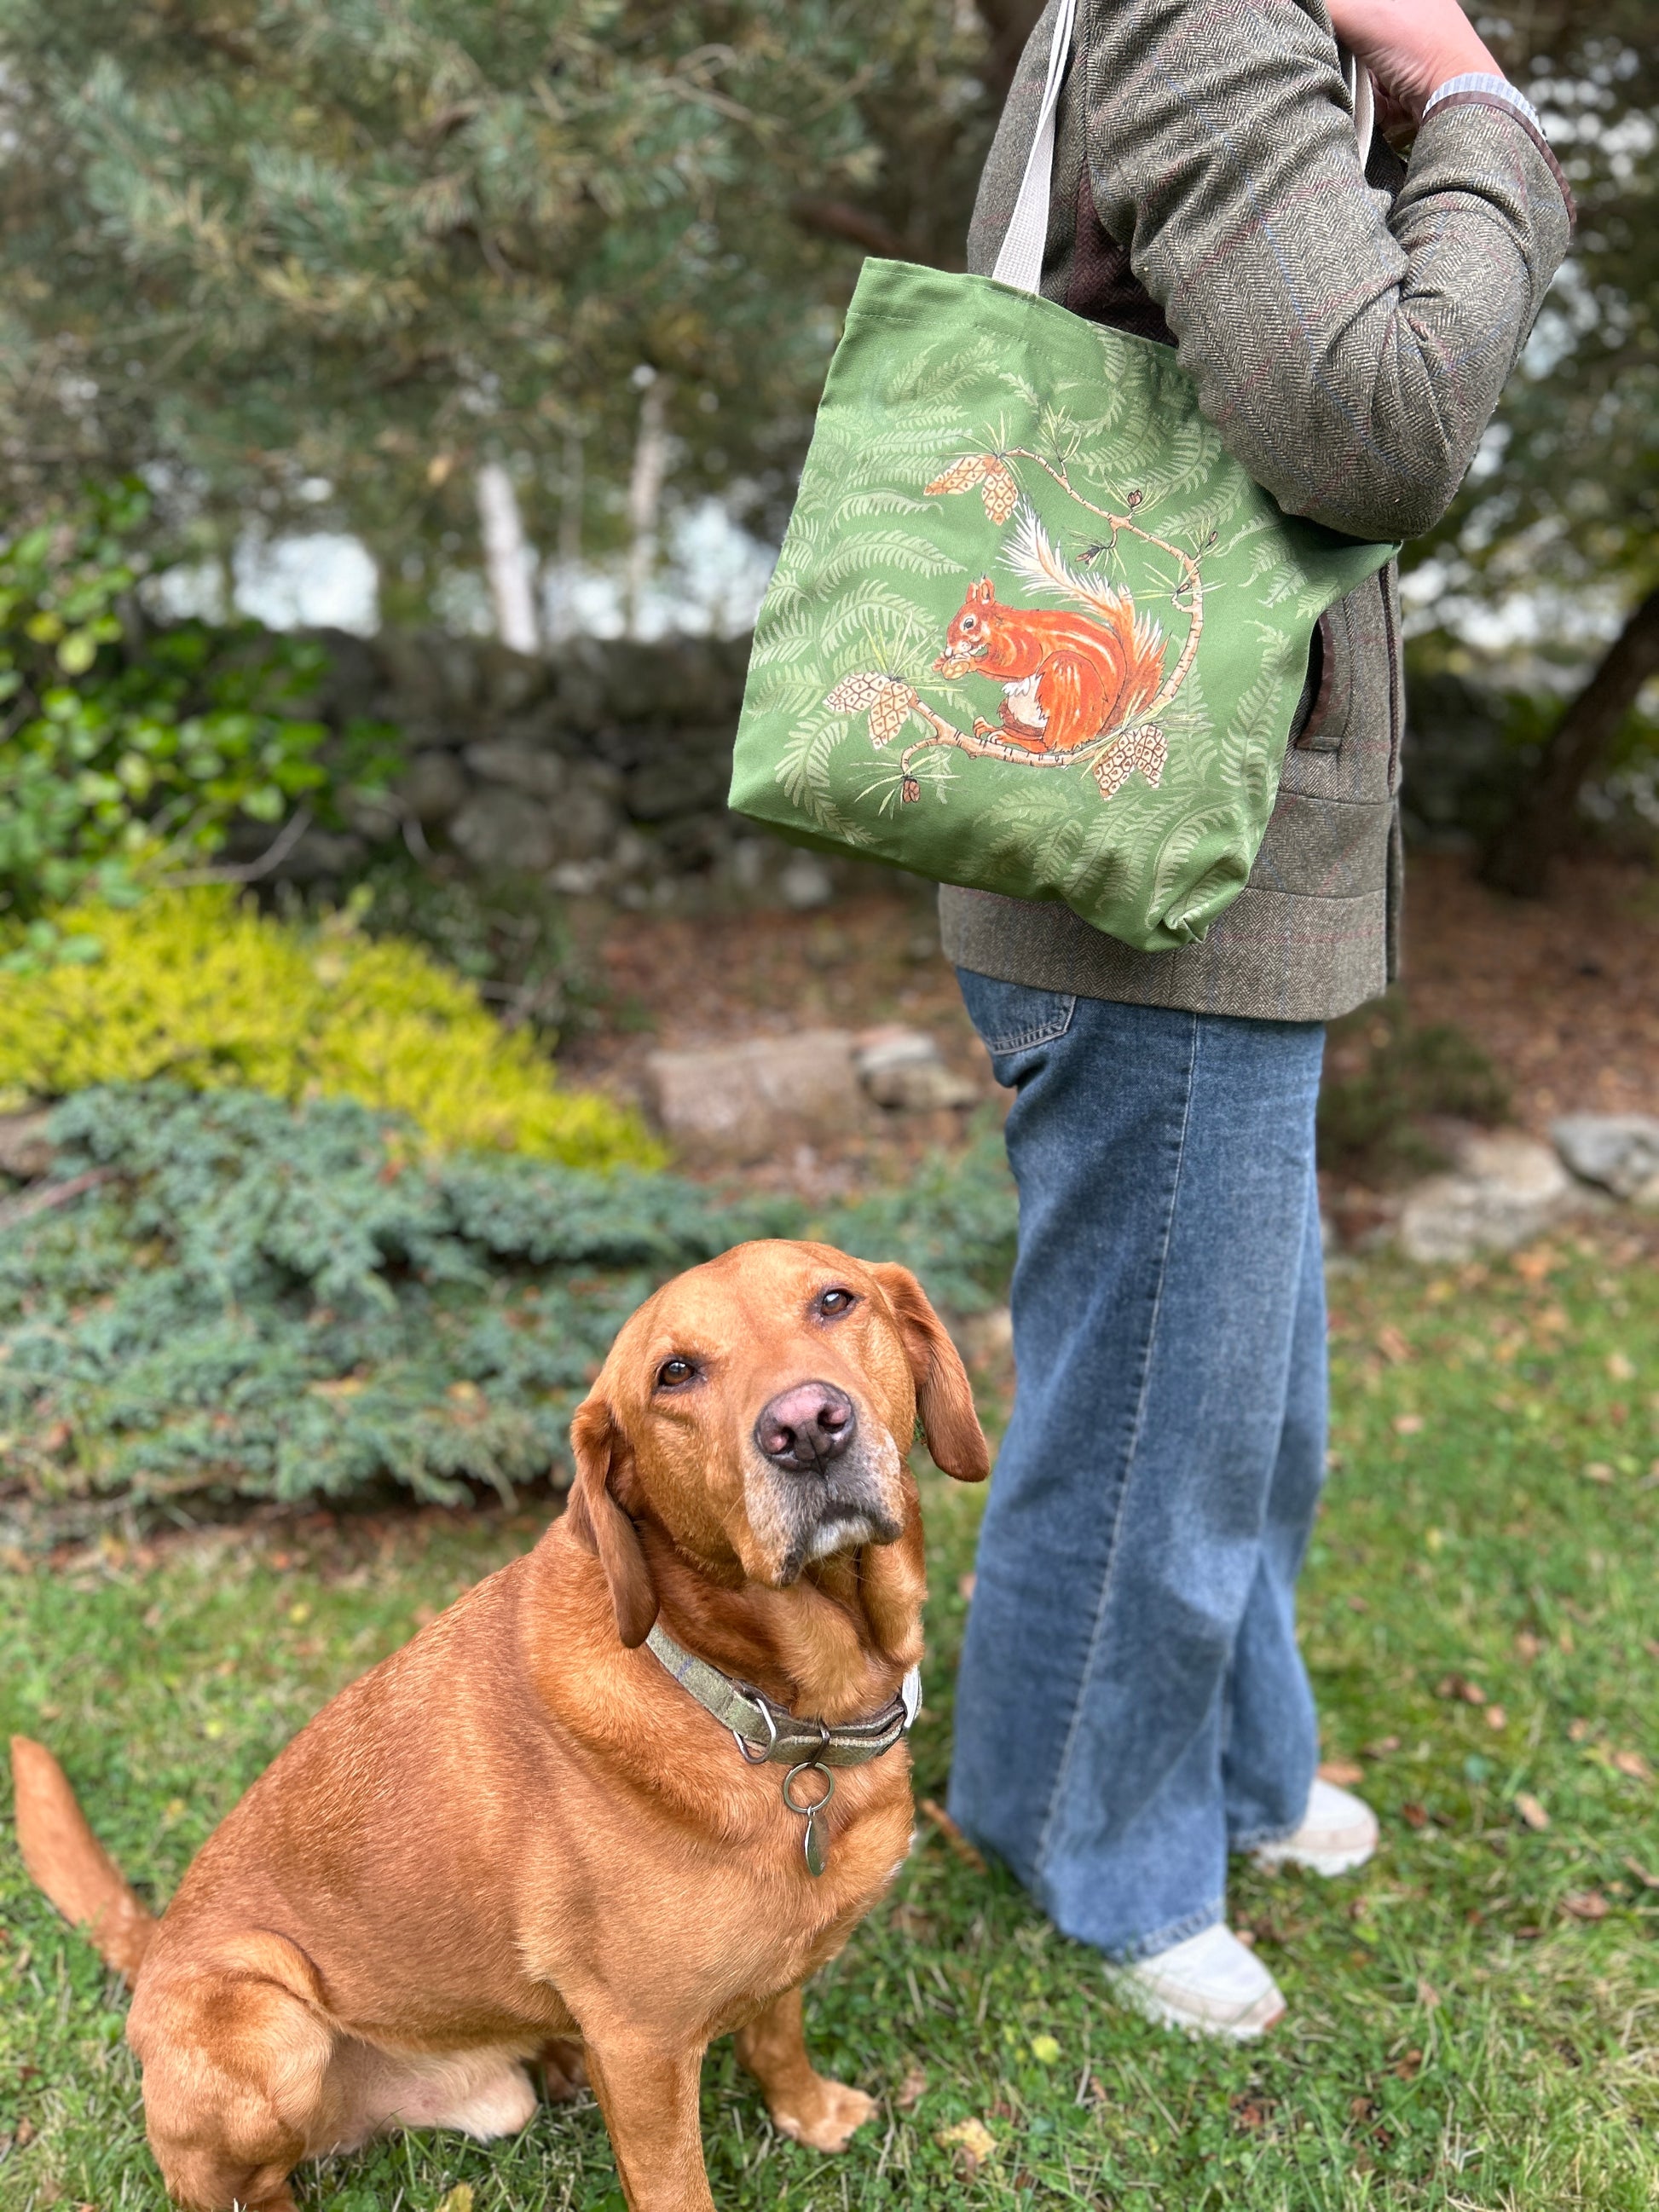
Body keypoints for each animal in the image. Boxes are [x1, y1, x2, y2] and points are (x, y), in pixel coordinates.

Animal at [9, 1247, 986, 2212]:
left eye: (835, 1301)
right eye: (674, 1373)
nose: (807, 1428)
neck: (780, 1708)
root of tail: (154, 1947)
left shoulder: (776, 1956)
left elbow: (777, 2034)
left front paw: (809, 2113)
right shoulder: (643, 2047)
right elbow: (677, 2182)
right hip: (271, 2019)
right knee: (237, 2188)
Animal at [938, 575, 1167, 756]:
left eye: (968, 623)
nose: (949, 651)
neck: (1001, 625)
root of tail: (1097, 727)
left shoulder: (1025, 644)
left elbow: (1018, 666)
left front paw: (969, 662)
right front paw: (943, 660)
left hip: (1067, 679)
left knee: (1048, 745)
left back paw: (1010, 738)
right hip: (1012, 709)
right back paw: (995, 728)